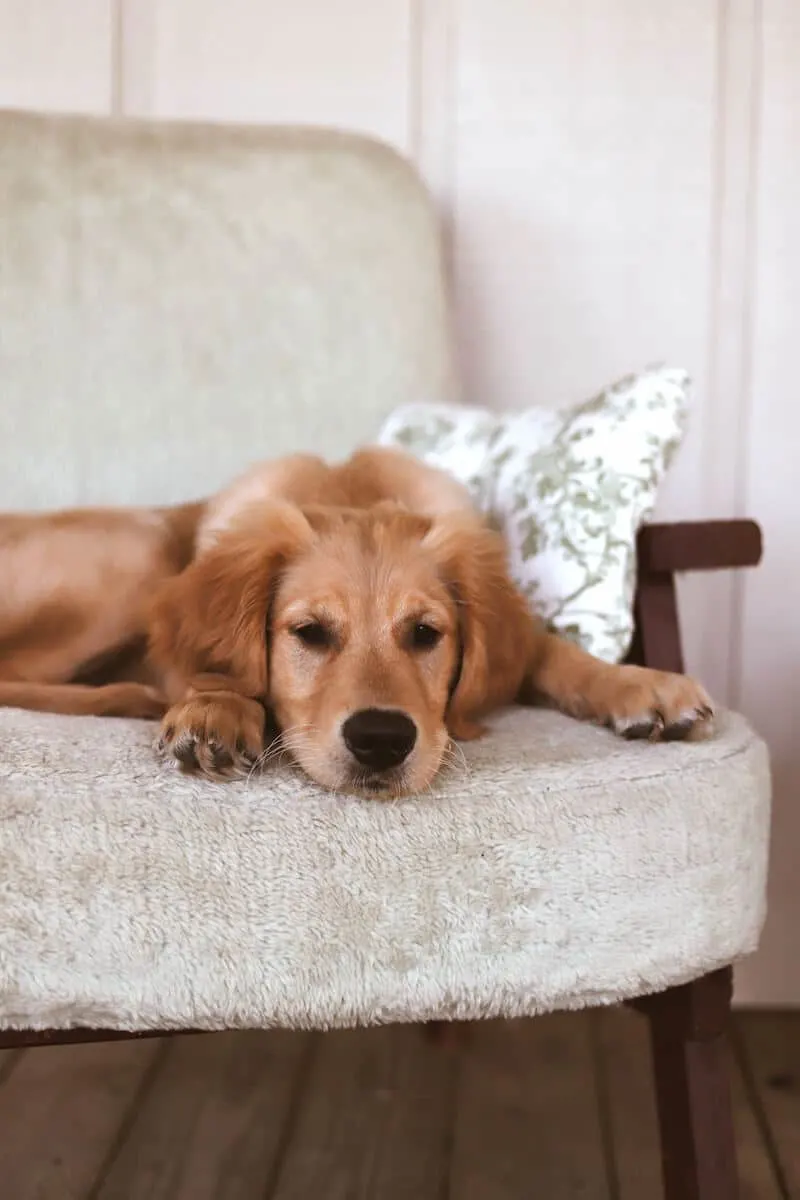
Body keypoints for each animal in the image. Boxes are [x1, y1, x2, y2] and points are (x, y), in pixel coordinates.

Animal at [0, 446, 714, 792]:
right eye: (309, 633)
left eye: (425, 634)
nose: (381, 741)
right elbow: (218, 673)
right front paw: (215, 709)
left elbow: (552, 651)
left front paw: (642, 685)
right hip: (141, 548)